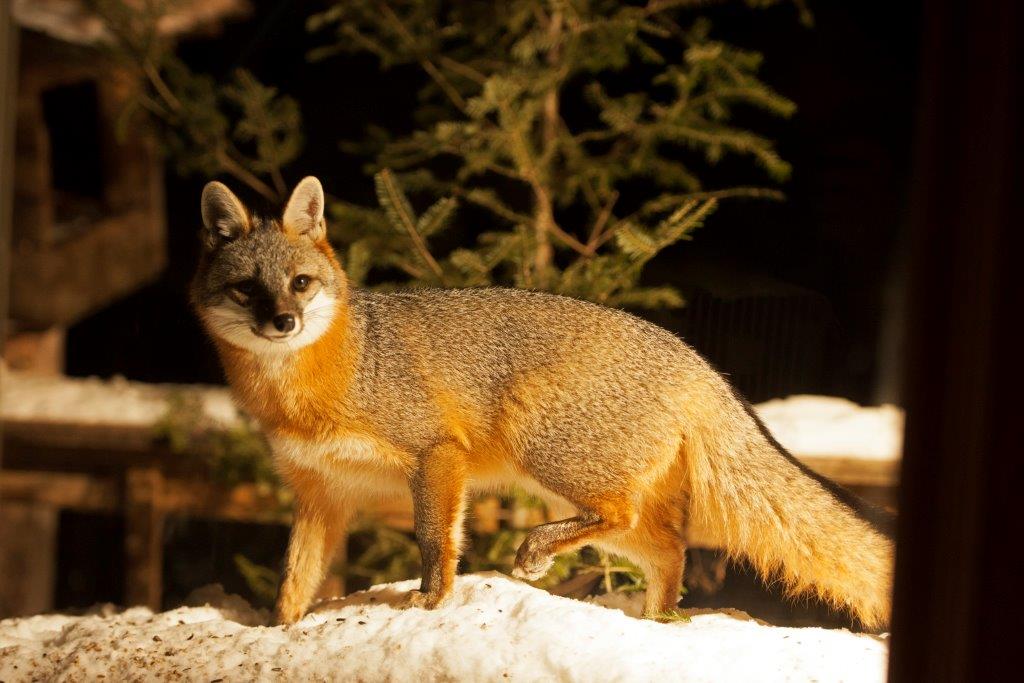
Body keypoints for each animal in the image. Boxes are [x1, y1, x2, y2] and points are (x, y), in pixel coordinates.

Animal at [191, 176, 895, 630]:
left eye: (300, 283)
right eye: (247, 289)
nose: (281, 322)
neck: (306, 389)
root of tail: (694, 358)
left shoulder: (435, 454)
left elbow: (434, 540)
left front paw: (431, 602)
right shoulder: (320, 495)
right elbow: (293, 585)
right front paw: (276, 636)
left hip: (546, 455)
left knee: (624, 518)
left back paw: (536, 554)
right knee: (670, 549)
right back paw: (659, 621)